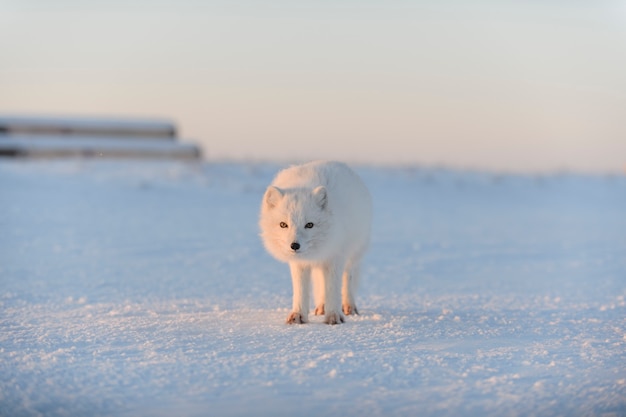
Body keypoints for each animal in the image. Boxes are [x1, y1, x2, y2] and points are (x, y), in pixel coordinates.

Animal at [258, 161, 370, 324]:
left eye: (309, 225)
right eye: (283, 225)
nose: (294, 246)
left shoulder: (335, 258)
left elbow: (333, 289)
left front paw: (333, 316)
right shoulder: (299, 264)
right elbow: (300, 290)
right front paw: (298, 315)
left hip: (352, 256)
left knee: (347, 280)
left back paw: (348, 307)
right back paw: (321, 306)